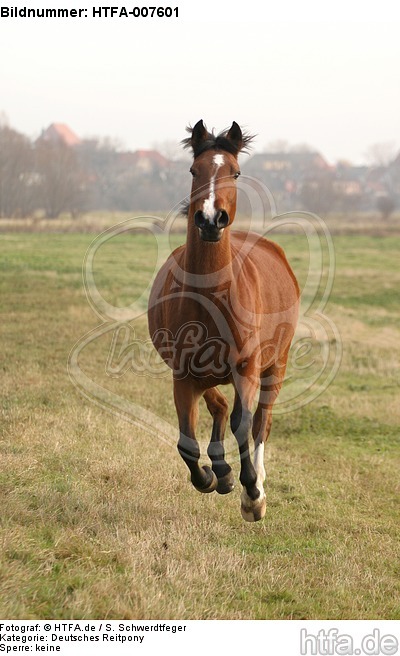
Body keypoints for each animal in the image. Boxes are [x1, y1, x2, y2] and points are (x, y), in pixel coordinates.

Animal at [148, 120, 299, 522]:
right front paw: (215, 477)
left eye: (235, 172)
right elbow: (187, 441)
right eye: (193, 170)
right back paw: (221, 469)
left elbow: (242, 424)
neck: (211, 297)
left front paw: (251, 492)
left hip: (276, 364)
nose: (210, 219)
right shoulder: (183, 374)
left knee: (262, 421)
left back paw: (255, 488)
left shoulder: (247, 367)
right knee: (217, 406)